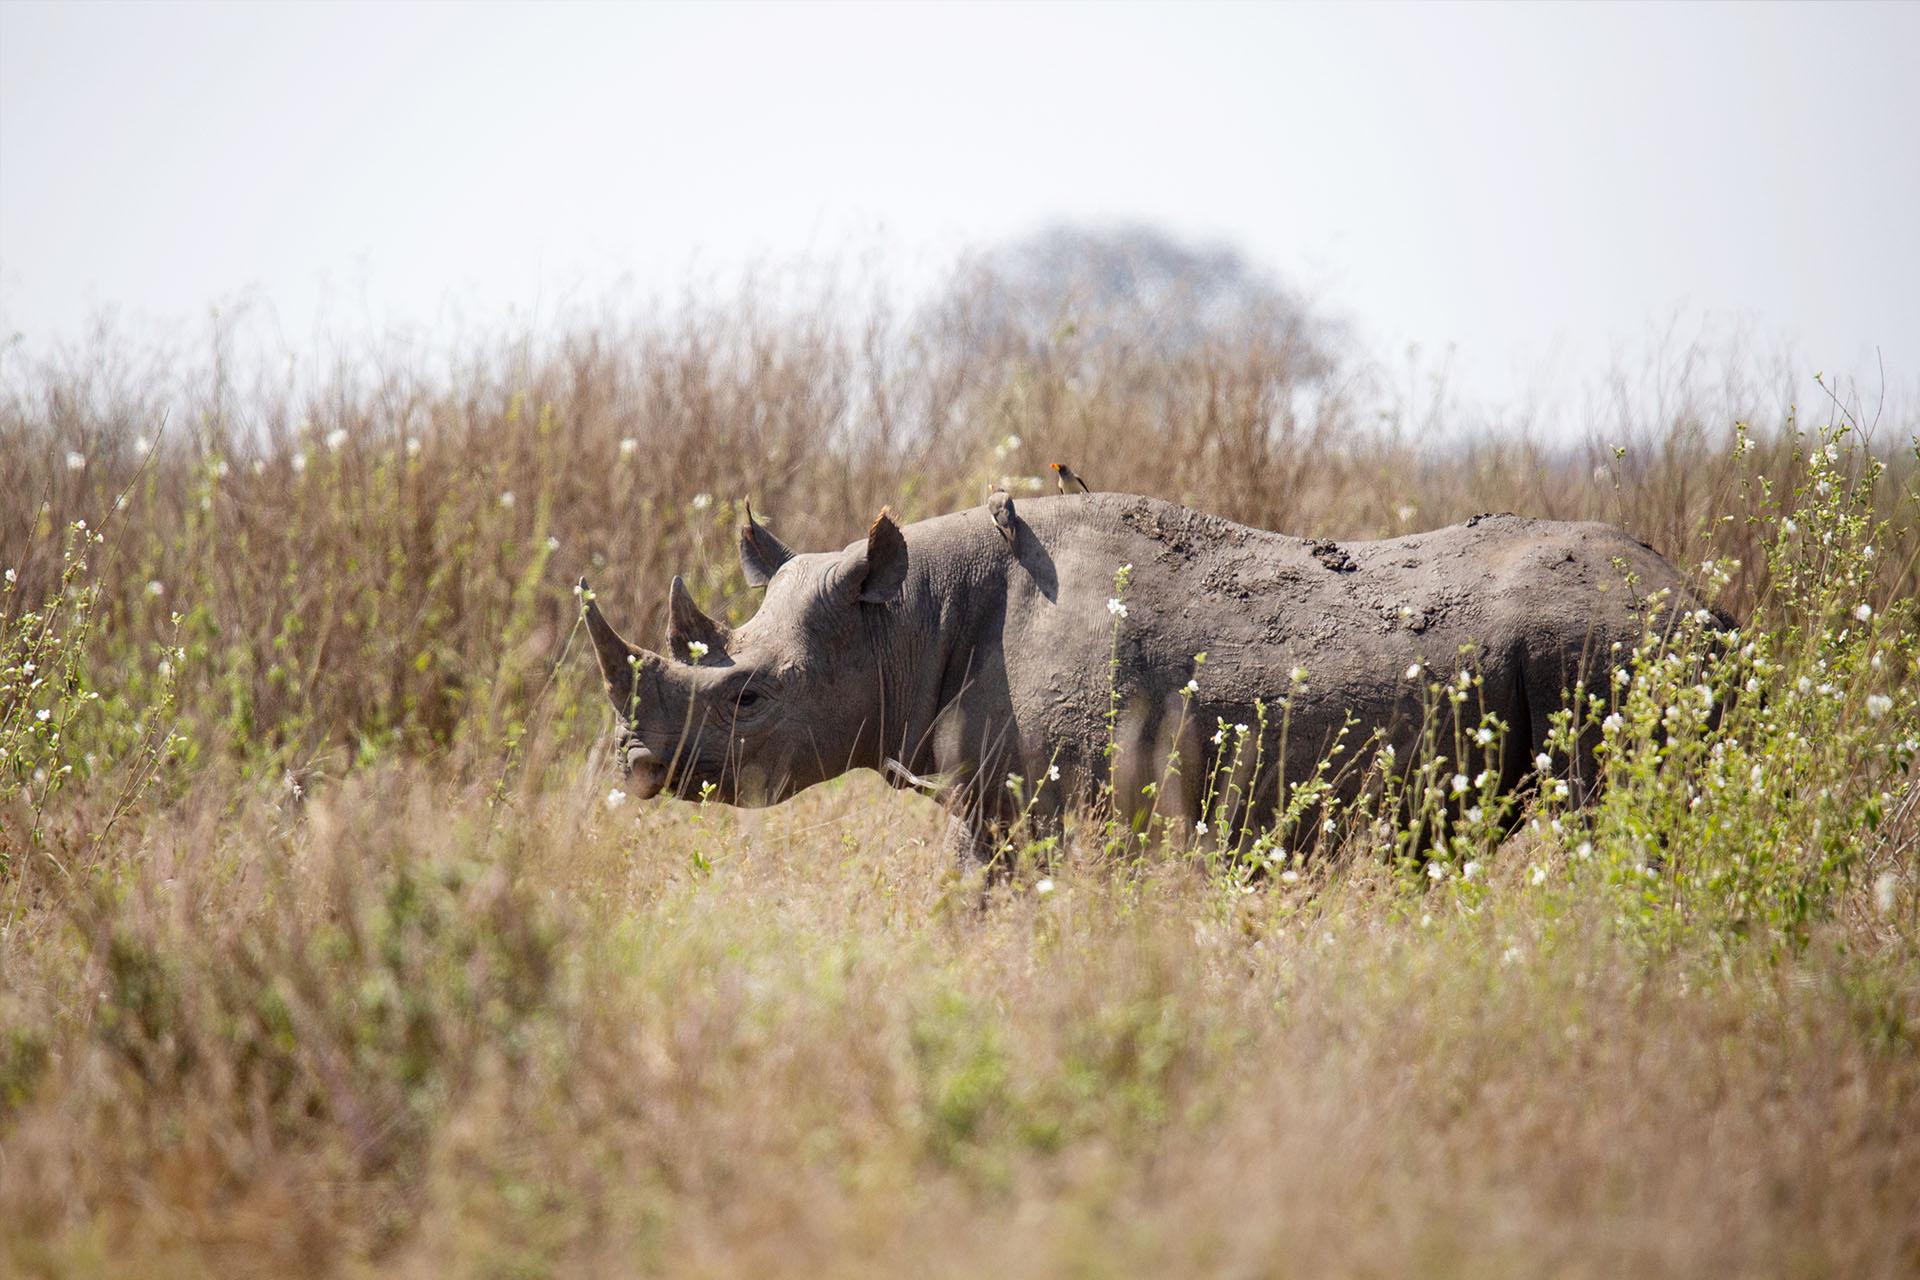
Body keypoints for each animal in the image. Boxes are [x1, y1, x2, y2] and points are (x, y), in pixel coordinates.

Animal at [581, 492, 1718, 862]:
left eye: (750, 696)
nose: (632, 764)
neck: (907, 617)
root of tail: (1708, 604)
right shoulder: (993, 795)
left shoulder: (1055, 803)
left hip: (1617, 644)